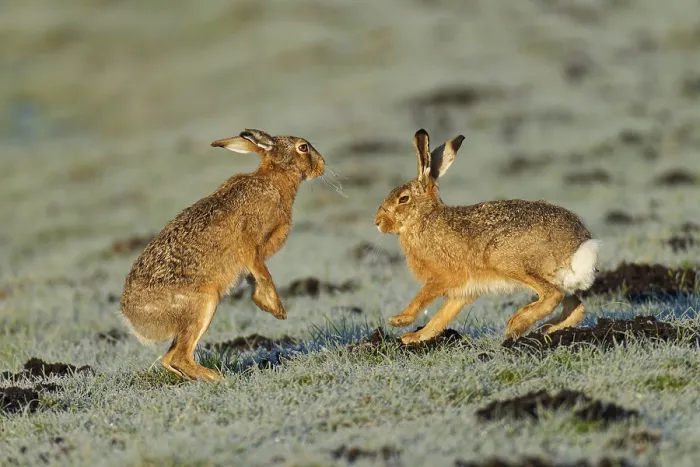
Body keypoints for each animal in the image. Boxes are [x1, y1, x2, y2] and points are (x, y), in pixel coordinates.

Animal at [120, 129, 325, 381]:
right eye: (303, 147)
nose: (322, 165)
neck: (273, 179)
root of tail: (132, 318)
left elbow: (254, 277)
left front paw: (265, 305)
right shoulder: (250, 246)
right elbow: (263, 274)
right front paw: (278, 310)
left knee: (169, 358)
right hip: (203, 303)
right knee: (180, 356)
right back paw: (220, 379)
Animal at [374, 129, 601, 345]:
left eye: (403, 199)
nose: (377, 222)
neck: (424, 218)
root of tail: (578, 247)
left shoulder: (443, 276)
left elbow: (423, 297)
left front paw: (399, 320)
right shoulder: (463, 290)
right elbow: (441, 317)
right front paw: (414, 338)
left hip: (504, 258)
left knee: (552, 294)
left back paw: (516, 325)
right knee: (576, 306)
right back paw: (544, 329)